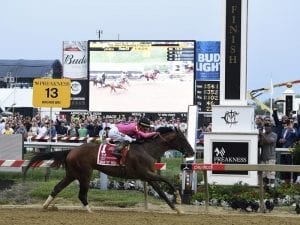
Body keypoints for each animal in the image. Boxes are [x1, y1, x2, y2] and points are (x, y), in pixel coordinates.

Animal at [24, 127, 196, 214]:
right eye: (183, 139)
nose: (192, 152)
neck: (147, 149)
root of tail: (71, 150)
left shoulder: (148, 176)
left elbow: (161, 192)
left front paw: (176, 209)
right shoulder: (145, 173)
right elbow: (166, 181)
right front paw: (178, 198)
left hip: (72, 174)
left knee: (57, 187)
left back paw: (46, 206)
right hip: (85, 174)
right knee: (81, 194)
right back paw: (90, 210)